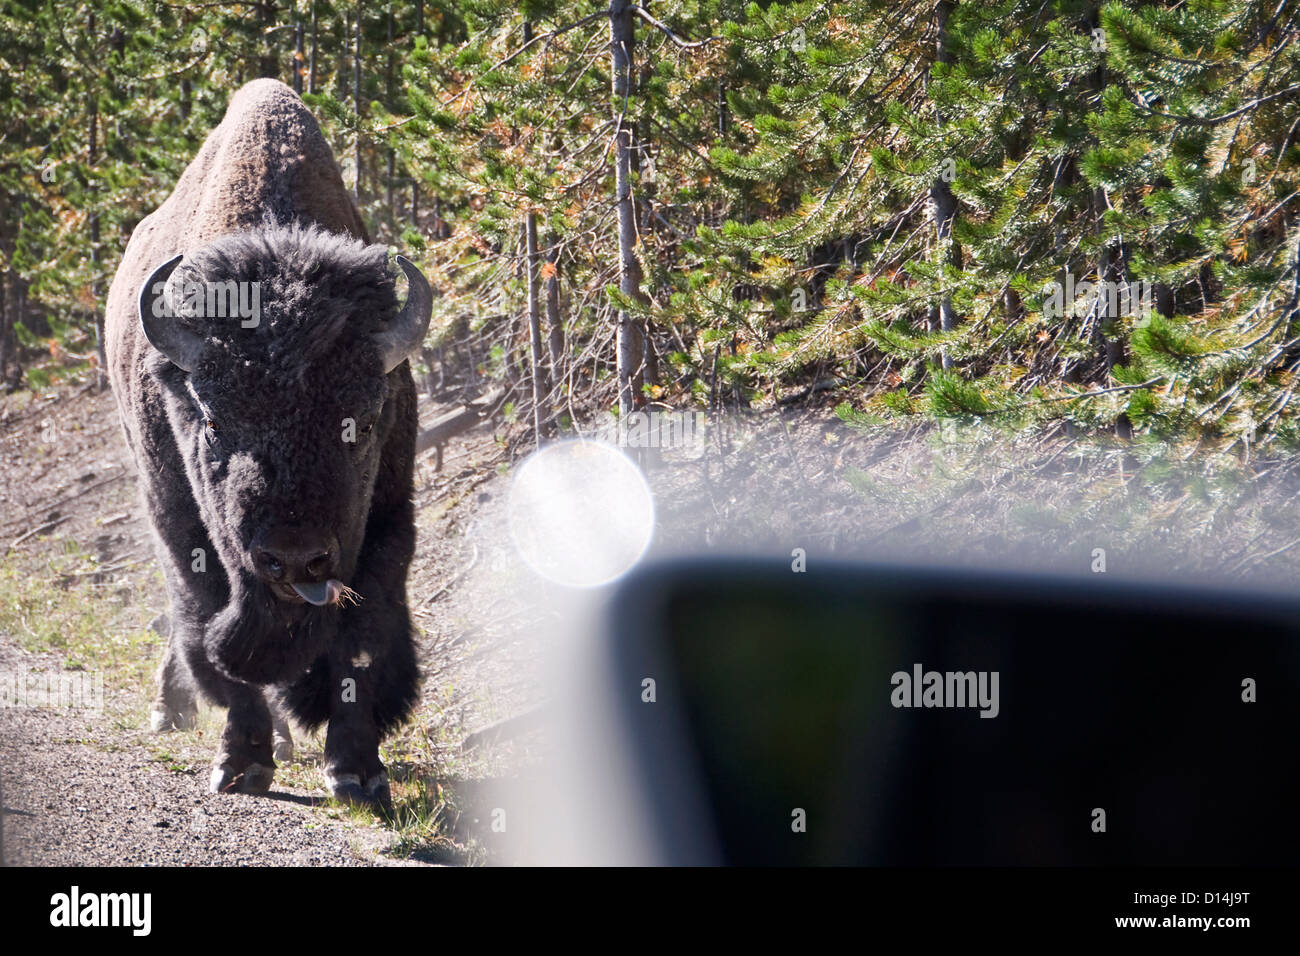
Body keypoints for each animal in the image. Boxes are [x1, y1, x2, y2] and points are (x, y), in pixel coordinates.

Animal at [106, 78, 431, 806]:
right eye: (212, 422)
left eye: (364, 421)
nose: (293, 558)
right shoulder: (181, 524)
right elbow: (211, 631)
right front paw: (242, 764)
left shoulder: (387, 520)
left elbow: (359, 641)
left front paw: (359, 774)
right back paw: (181, 714)